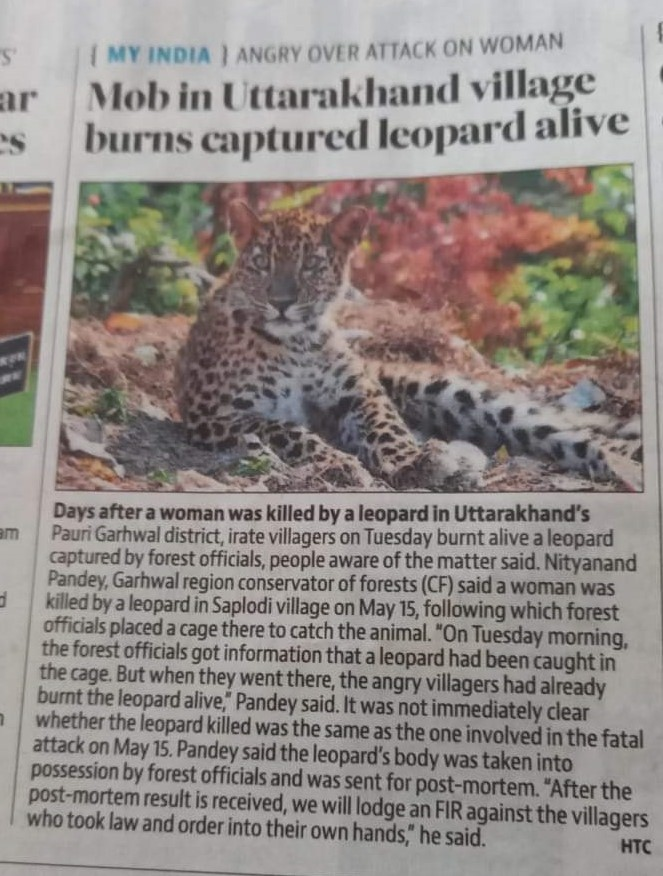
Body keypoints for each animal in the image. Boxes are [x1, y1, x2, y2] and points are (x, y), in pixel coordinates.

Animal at [176, 200, 624, 491]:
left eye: (312, 266)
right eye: (261, 264)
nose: (281, 302)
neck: (297, 341)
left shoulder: (360, 394)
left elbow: (385, 426)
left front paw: (413, 462)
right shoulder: (213, 413)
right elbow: (283, 428)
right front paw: (338, 464)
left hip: (450, 390)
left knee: (552, 428)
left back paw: (615, 465)